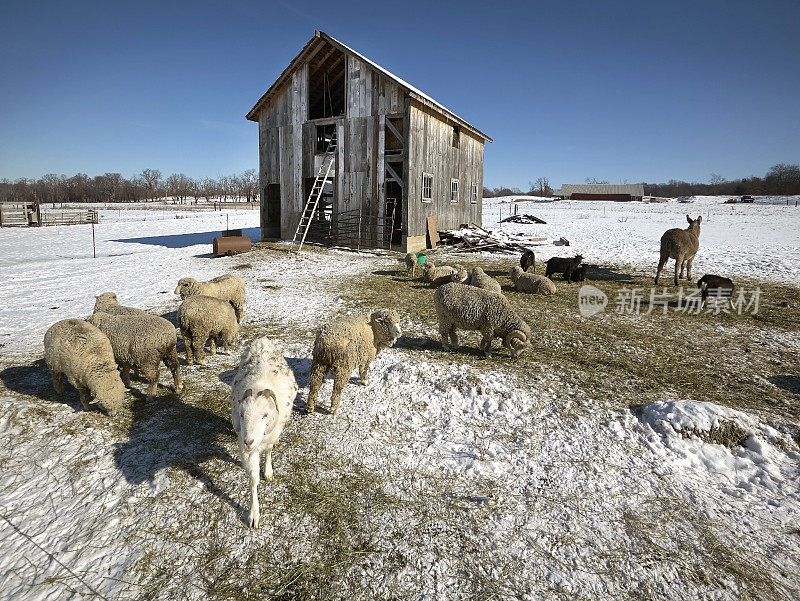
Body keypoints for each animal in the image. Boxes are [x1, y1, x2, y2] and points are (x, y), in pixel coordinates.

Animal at [230, 336, 298, 528]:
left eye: (265, 415)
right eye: (242, 414)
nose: (249, 442)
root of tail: (263, 339)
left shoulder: (270, 435)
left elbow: (268, 451)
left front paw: (268, 471)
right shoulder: (245, 447)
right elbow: (253, 479)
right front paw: (253, 514)